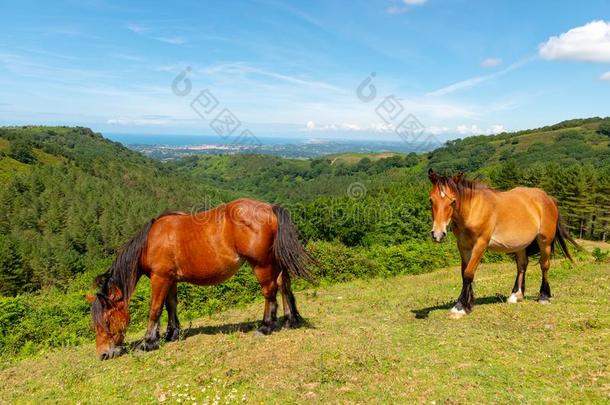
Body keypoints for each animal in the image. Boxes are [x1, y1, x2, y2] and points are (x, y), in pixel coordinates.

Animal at [90, 197, 314, 358]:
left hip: (262, 265)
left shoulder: (160, 278)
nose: (103, 354)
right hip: (275, 262)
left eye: (107, 321)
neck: (150, 242)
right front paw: (172, 334)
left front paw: (148, 342)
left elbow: (155, 309)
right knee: (284, 285)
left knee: (269, 291)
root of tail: (270, 208)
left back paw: (266, 326)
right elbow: (171, 305)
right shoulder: (171, 279)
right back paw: (289, 320)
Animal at [428, 169, 576, 318]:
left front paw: (460, 307)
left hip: (545, 242)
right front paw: (467, 304)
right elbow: (464, 273)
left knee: (544, 265)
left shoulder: (480, 244)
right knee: (522, 265)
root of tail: (549, 198)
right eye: (431, 200)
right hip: (521, 245)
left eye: (453, 201)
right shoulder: (463, 246)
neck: (473, 209)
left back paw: (544, 296)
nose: (438, 234)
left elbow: (468, 273)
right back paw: (516, 295)